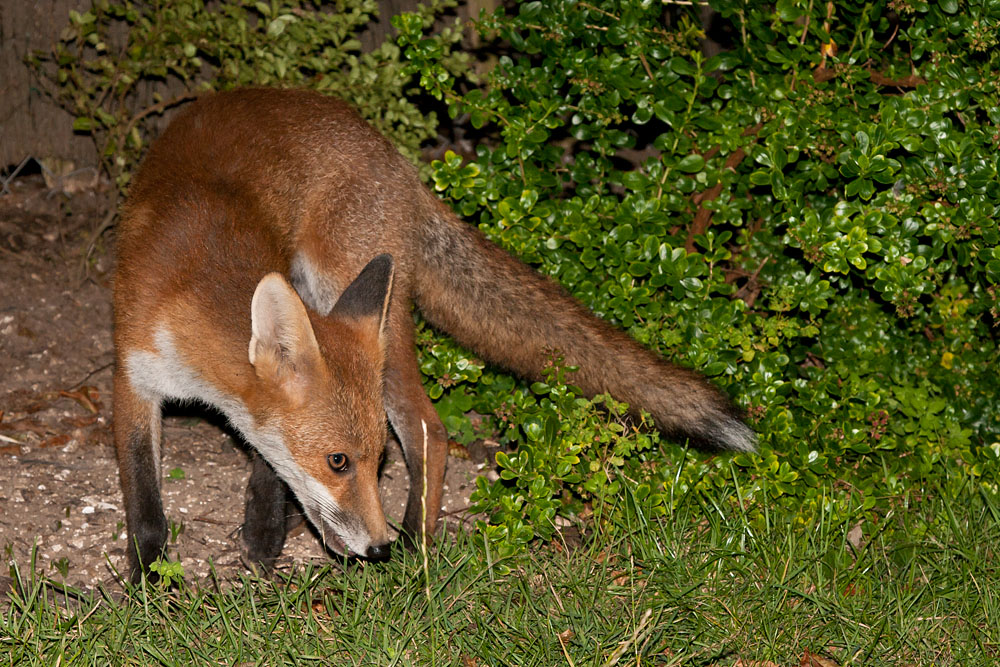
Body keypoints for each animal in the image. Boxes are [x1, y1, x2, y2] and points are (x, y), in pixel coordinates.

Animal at [113, 87, 756, 582]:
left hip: (368, 314)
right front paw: (151, 581)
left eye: (377, 462)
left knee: (432, 431)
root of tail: (398, 160)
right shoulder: (132, 375)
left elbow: (268, 467)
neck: (193, 288)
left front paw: (257, 539)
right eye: (339, 462)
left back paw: (418, 546)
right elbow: (146, 499)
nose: (378, 547)